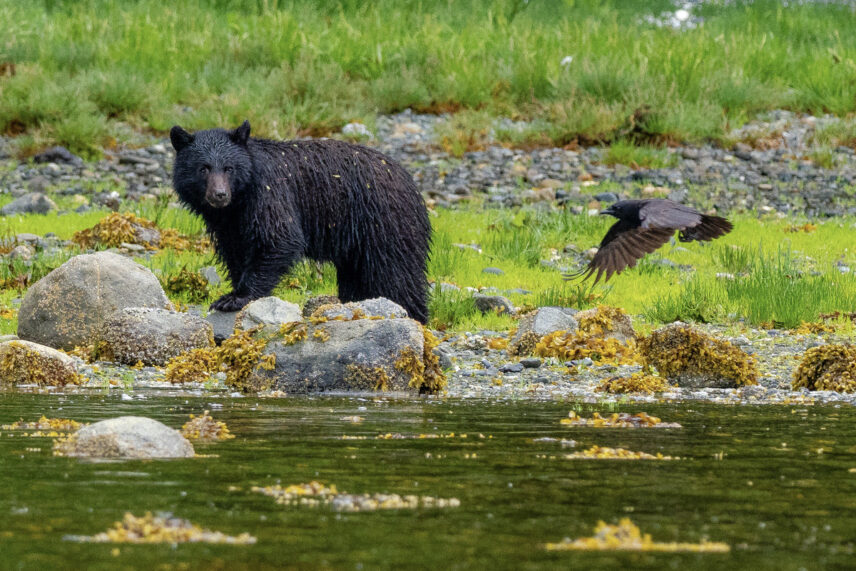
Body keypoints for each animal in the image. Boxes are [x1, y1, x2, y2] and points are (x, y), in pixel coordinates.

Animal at [169, 120, 431, 324]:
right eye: (203, 168)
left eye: (229, 168)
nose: (220, 195)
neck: (239, 201)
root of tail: (413, 185)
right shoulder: (230, 224)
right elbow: (236, 251)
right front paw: (232, 290)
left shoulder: (270, 194)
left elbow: (280, 239)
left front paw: (234, 298)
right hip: (358, 245)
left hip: (385, 224)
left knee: (397, 275)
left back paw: (413, 316)